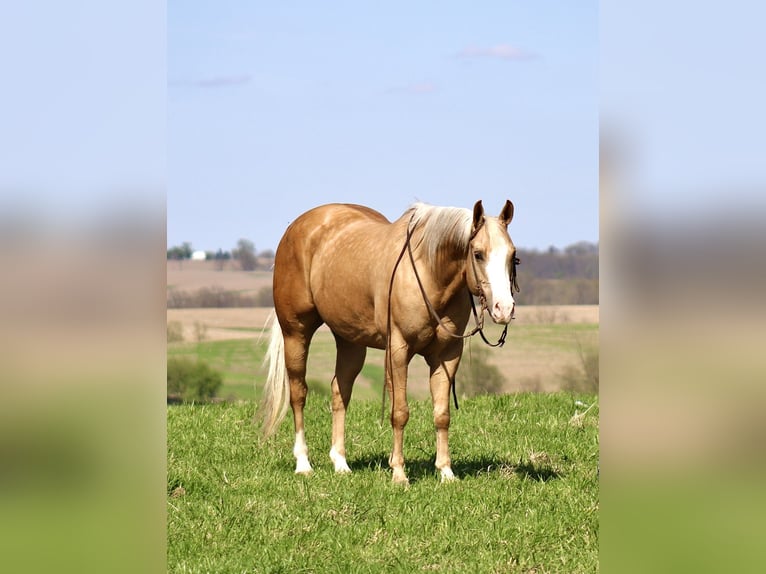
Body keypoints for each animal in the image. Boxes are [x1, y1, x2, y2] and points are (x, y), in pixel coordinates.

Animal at [260, 200, 518, 484]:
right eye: (478, 254)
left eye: (512, 255)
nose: (504, 308)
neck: (428, 274)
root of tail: (298, 226)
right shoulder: (398, 350)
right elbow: (400, 413)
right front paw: (399, 473)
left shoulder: (448, 355)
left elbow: (442, 415)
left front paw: (446, 472)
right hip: (296, 332)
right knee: (298, 394)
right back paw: (303, 463)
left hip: (350, 341)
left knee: (340, 392)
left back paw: (341, 463)